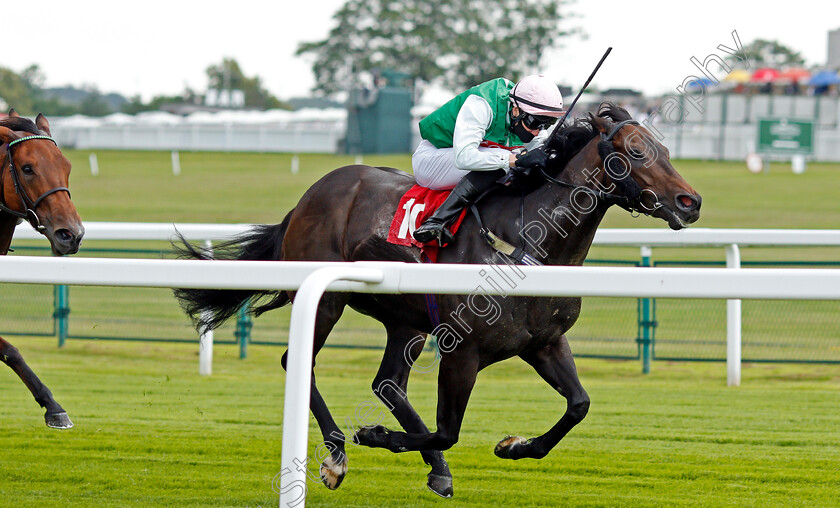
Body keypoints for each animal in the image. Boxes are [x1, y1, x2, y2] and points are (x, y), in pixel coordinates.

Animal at [176, 103, 704, 496]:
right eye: (635, 151)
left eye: (665, 148)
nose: (691, 202)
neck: (527, 242)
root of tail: (310, 195)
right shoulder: (462, 351)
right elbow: (449, 428)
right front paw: (374, 436)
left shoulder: (544, 342)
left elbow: (579, 405)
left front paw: (514, 446)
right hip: (328, 300)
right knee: (299, 363)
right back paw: (338, 454)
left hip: (406, 320)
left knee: (388, 384)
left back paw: (436, 468)